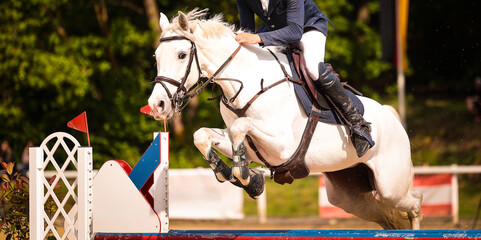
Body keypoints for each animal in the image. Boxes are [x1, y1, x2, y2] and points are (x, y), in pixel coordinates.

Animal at [147, 9, 420, 230]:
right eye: (156, 57)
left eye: (182, 55)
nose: (157, 106)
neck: (247, 81)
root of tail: (392, 116)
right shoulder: (252, 146)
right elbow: (202, 135)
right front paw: (243, 178)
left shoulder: (282, 146)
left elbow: (239, 127)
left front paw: (247, 176)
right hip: (348, 193)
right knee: (386, 214)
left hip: (390, 185)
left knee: (415, 204)